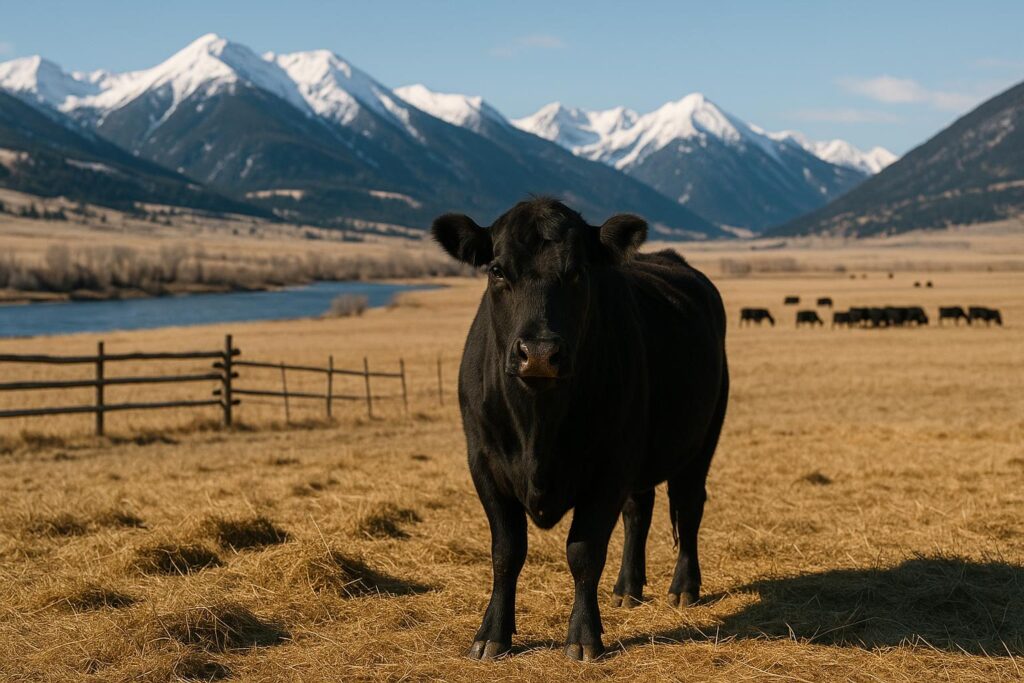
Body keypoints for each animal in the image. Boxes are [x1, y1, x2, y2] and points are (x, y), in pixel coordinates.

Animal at [431, 198, 729, 661]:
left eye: (577, 271)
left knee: (688, 505)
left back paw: (683, 588)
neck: (538, 426)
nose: (539, 353)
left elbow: (584, 551)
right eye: (497, 270)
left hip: (700, 441)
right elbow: (506, 551)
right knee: (638, 511)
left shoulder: (609, 467)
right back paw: (628, 588)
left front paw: (584, 637)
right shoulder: (483, 463)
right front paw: (491, 635)